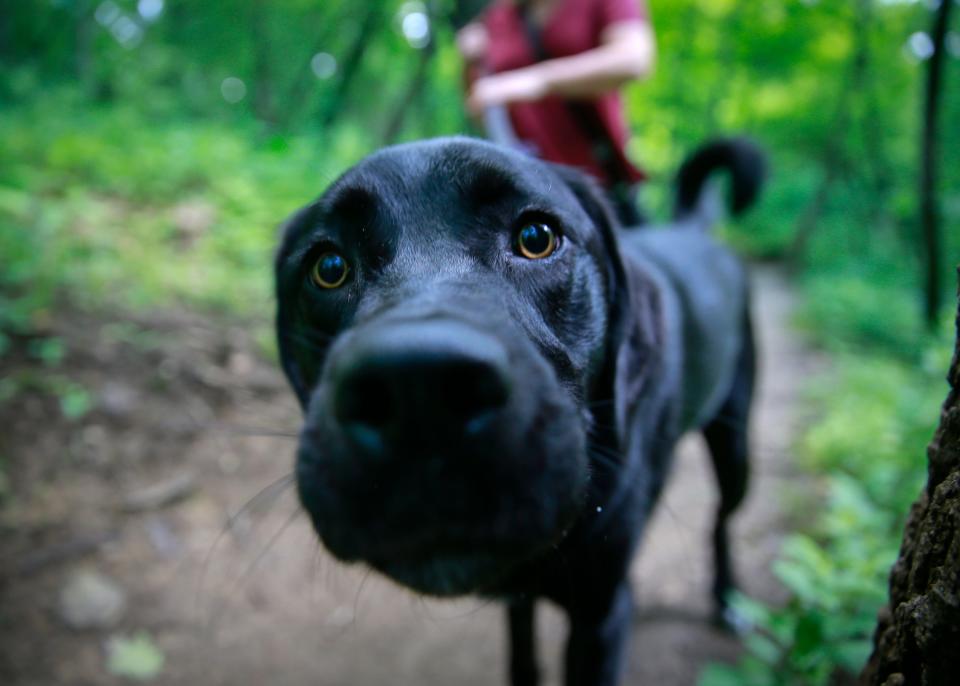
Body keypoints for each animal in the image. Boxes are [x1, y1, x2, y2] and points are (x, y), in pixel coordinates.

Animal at [276, 137, 764, 684]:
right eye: (328, 267)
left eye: (536, 237)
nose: (418, 391)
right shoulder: (518, 593)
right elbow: (521, 648)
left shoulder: (601, 614)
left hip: (735, 449)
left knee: (721, 519)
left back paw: (728, 601)